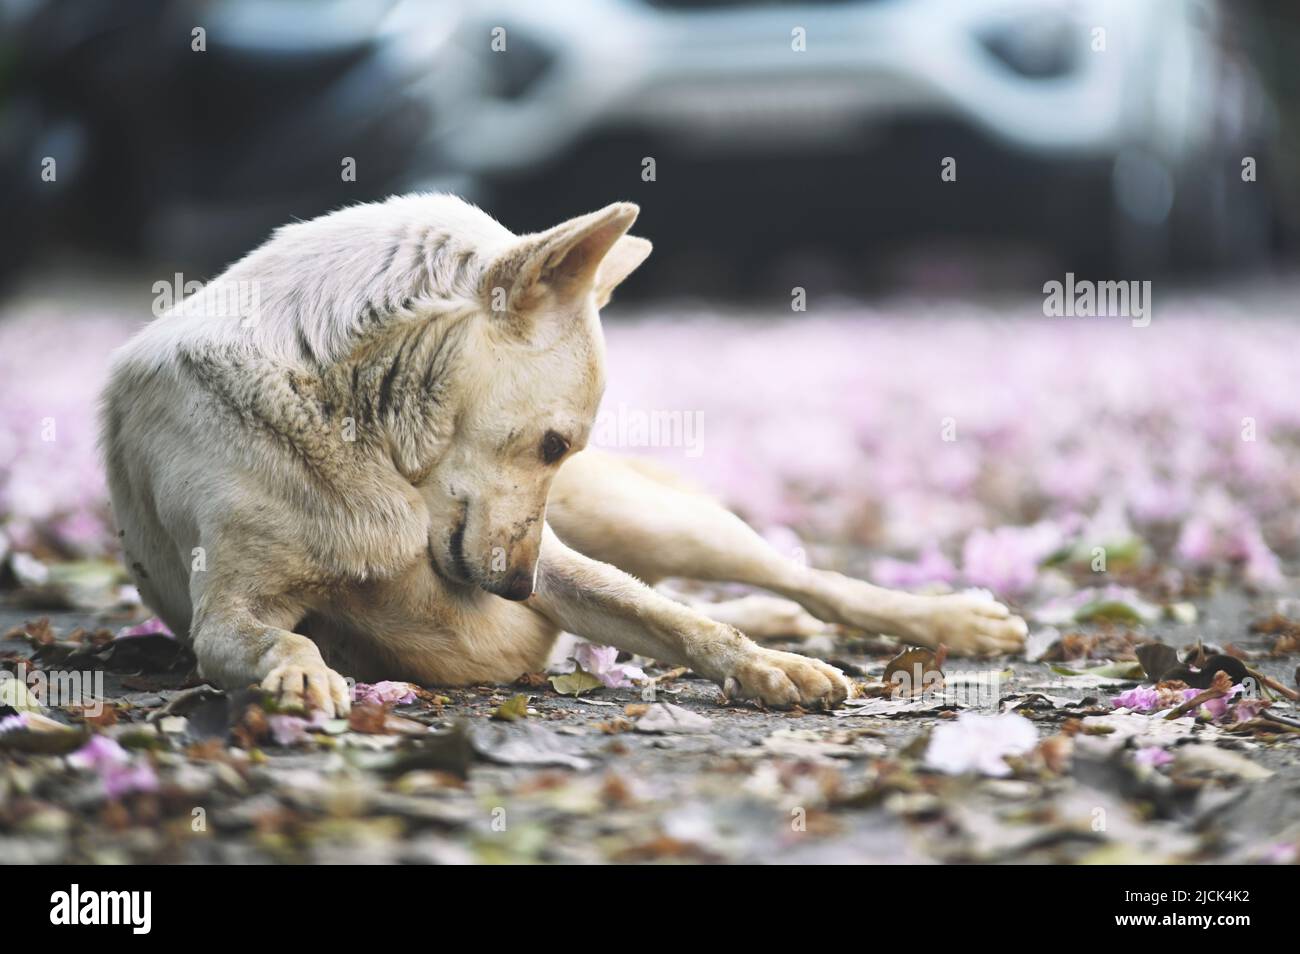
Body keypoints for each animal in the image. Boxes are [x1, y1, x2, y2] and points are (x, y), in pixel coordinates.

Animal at [98, 196, 1024, 717]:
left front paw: (767, 668)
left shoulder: (549, 563)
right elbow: (274, 641)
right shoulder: (229, 610)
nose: (515, 590)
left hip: (652, 523)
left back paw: (947, 617)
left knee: (796, 578)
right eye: (553, 443)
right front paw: (299, 675)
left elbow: (676, 619)